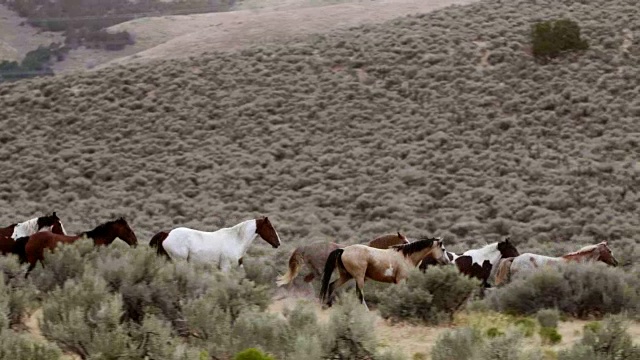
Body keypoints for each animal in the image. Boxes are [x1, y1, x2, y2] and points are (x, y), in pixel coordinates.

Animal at [151, 215, 282, 272]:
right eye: (270, 227)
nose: (278, 243)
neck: (236, 240)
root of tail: (166, 234)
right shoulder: (225, 267)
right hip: (179, 261)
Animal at [318, 236, 448, 310]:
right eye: (443, 249)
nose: (447, 261)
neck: (406, 256)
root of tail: (343, 250)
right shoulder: (401, 280)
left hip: (346, 276)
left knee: (332, 285)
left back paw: (327, 306)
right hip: (359, 277)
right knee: (359, 294)